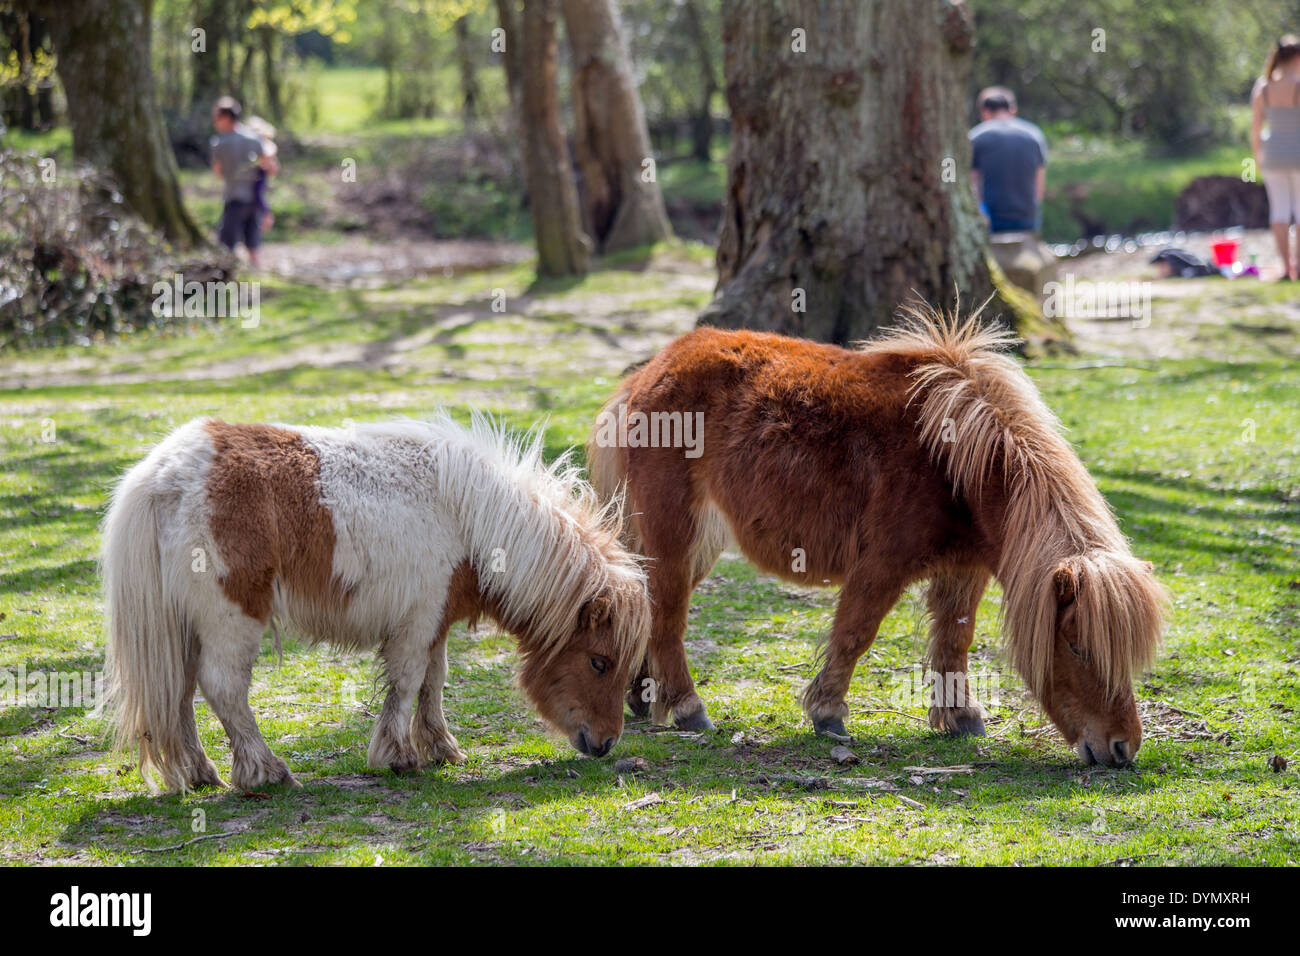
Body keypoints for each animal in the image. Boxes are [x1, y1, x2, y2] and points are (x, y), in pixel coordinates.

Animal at [104, 413, 650, 790]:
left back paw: (201, 772)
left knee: (179, 692)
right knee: (223, 689)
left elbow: (433, 681)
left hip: (186, 626)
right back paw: (265, 771)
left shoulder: (434, 620)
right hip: (230, 618)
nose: (606, 743)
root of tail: (161, 475)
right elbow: (407, 682)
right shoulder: (418, 622)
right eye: (600, 662)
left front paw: (440, 747)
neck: (469, 517)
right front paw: (398, 756)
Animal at [590, 306, 1170, 770]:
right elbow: (856, 632)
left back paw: (642, 697)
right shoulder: (882, 565)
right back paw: (687, 709)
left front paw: (960, 716)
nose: (1123, 748)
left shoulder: (964, 570)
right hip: (676, 534)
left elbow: (955, 639)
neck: (956, 460)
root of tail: (648, 372)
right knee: (667, 615)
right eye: (1076, 646)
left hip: (699, 542)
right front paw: (827, 713)